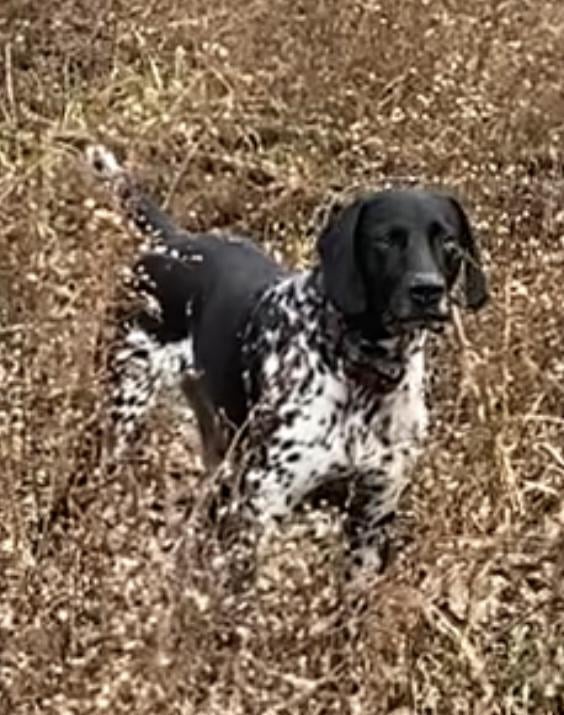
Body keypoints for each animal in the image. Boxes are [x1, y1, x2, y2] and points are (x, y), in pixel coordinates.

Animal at [88, 145, 490, 572]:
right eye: (385, 240)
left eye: (449, 243)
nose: (427, 291)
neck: (361, 370)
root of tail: (173, 240)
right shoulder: (261, 508)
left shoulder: (372, 517)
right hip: (124, 416)